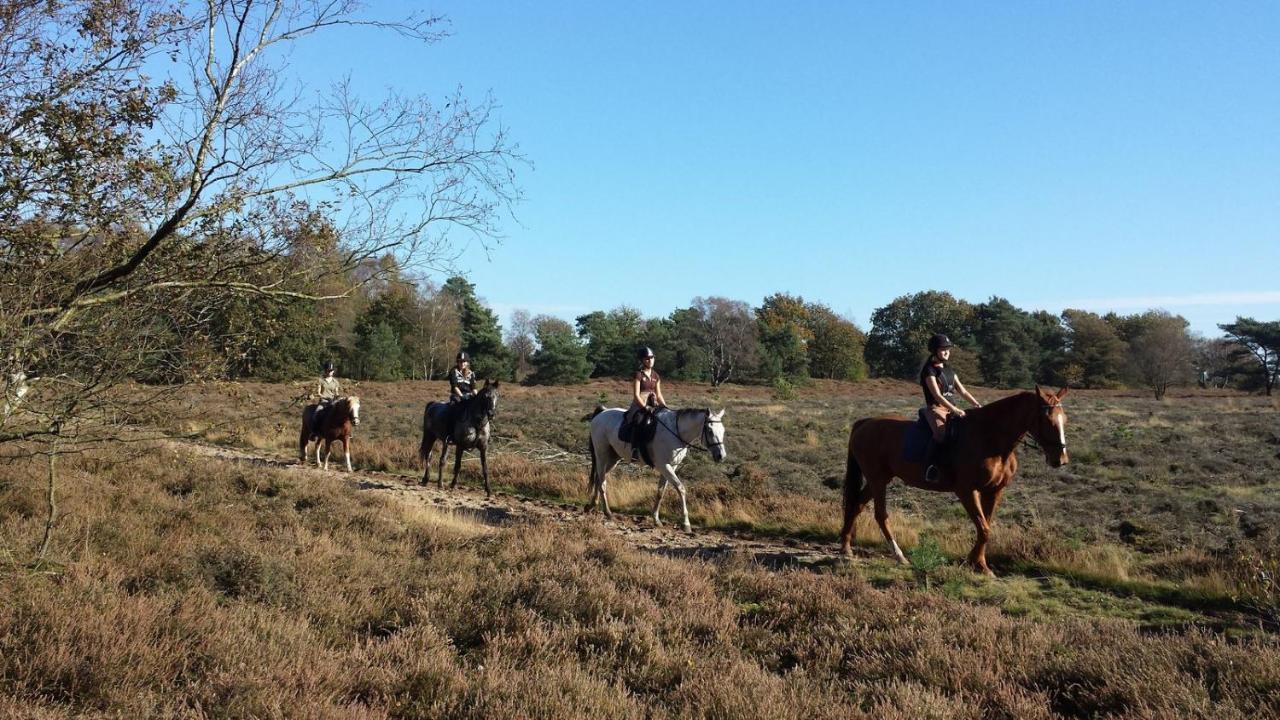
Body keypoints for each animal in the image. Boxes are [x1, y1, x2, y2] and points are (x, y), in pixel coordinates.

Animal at [586, 407, 727, 530]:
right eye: (710, 431)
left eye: (723, 431)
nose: (721, 456)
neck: (676, 433)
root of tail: (602, 413)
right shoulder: (664, 466)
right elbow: (680, 488)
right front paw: (686, 523)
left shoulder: (671, 466)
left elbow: (660, 492)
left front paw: (656, 519)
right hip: (601, 455)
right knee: (602, 481)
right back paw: (608, 512)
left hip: (613, 458)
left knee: (599, 478)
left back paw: (592, 505)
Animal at [839, 384, 1070, 573]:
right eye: (1047, 420)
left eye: (1064, 420)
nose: (1061, 459)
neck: (990, 438)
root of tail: (865, 423)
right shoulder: (967, 491)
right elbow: (984, 528)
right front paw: (975, 563)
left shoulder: (993, 491)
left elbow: (985, 526)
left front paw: (978, 563)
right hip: (877, 479)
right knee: (880, 515)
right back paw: (899, 555)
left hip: (878, 479)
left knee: (856, 505)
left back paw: (846, 547)